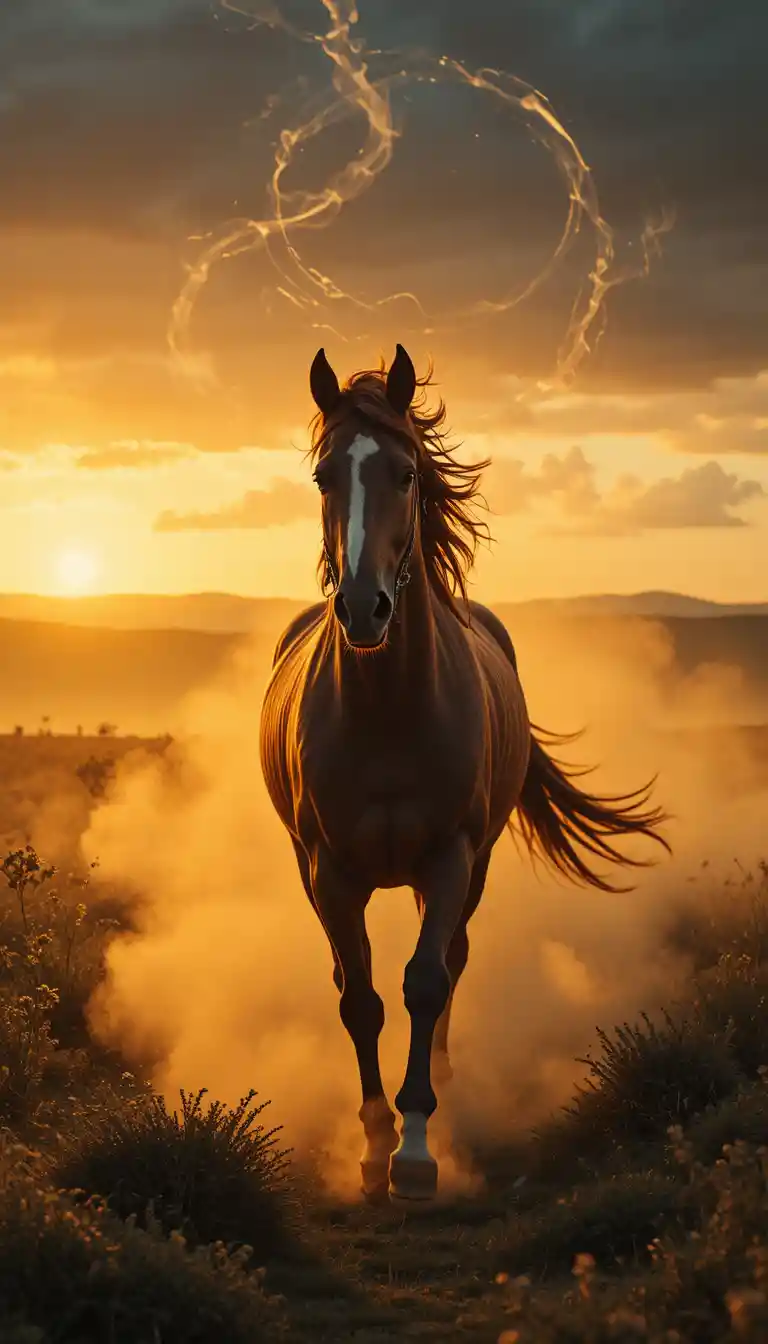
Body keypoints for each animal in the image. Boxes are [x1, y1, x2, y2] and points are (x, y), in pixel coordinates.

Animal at [259, 344, 671, 1203]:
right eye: (323, 476)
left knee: (451, 961)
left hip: (469, 867)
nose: (364, 610)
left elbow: (424, 981)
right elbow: (361, 999)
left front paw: (416, 1147)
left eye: (406, 472)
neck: (386, 711)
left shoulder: (451, 857)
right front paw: (372, 1145)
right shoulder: (329, 872)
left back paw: (446, 1082)